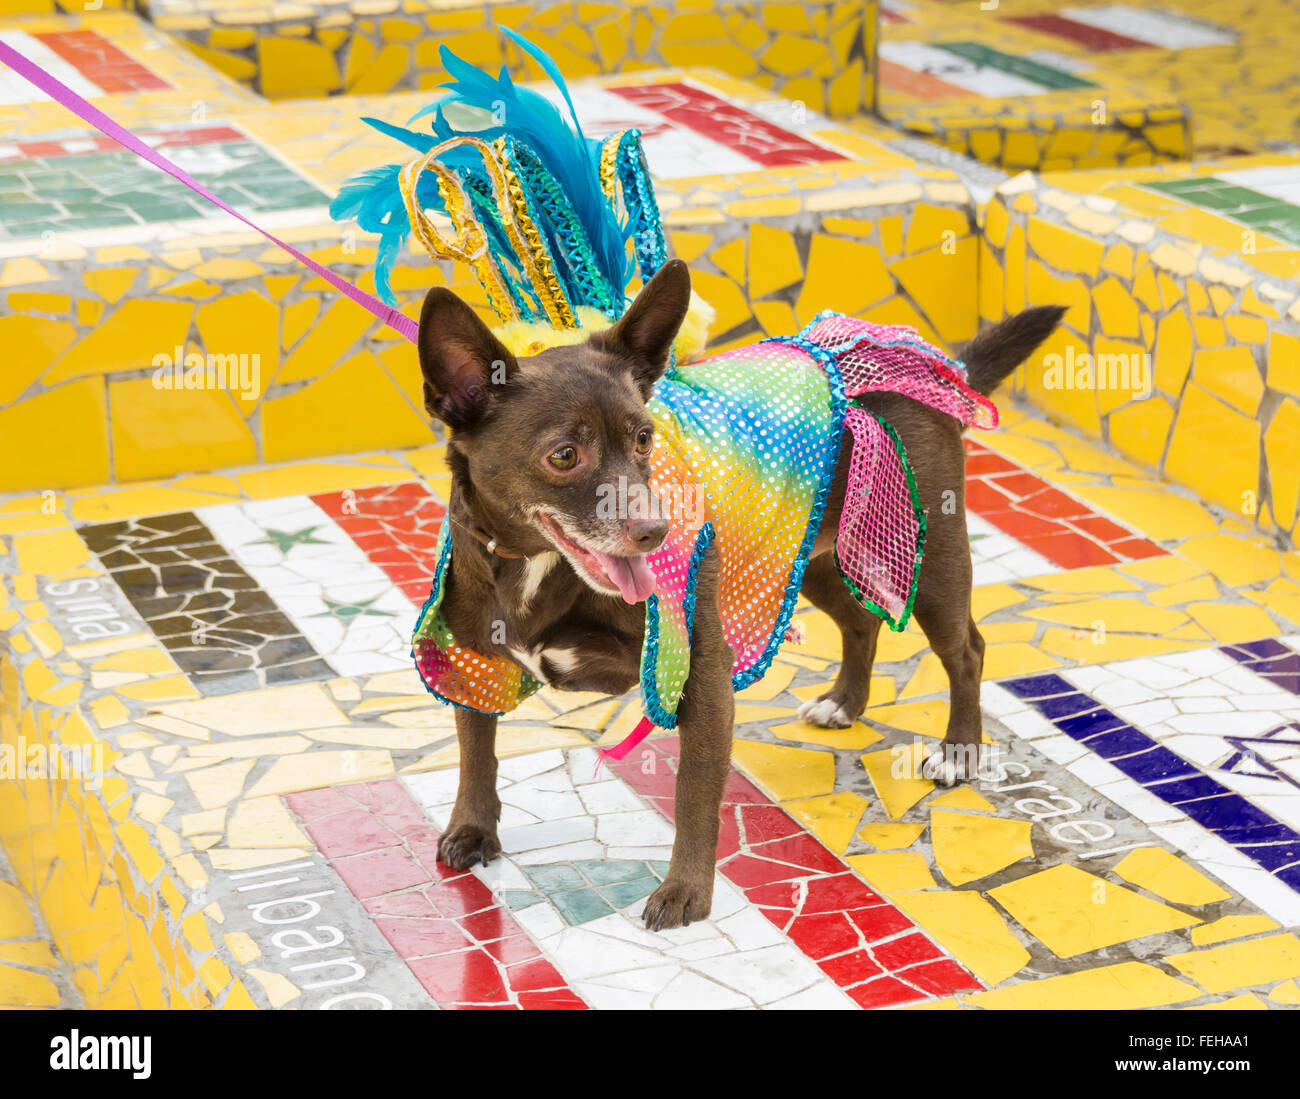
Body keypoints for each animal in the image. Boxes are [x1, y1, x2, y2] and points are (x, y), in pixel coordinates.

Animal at [421, 257, 1060, 926]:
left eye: (645, 438)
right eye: (564, 455)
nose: (656, 530)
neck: (537, 565)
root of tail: (930, 365)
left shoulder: (699, 672)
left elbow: (693, 794)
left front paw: (685, 892)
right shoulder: (472, 661)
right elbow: (476, 749)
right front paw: (473, 829)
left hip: (928, 562)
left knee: (967, 650)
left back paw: (958, 752)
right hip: (807, 558)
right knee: (860, 623)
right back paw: (845, 702)